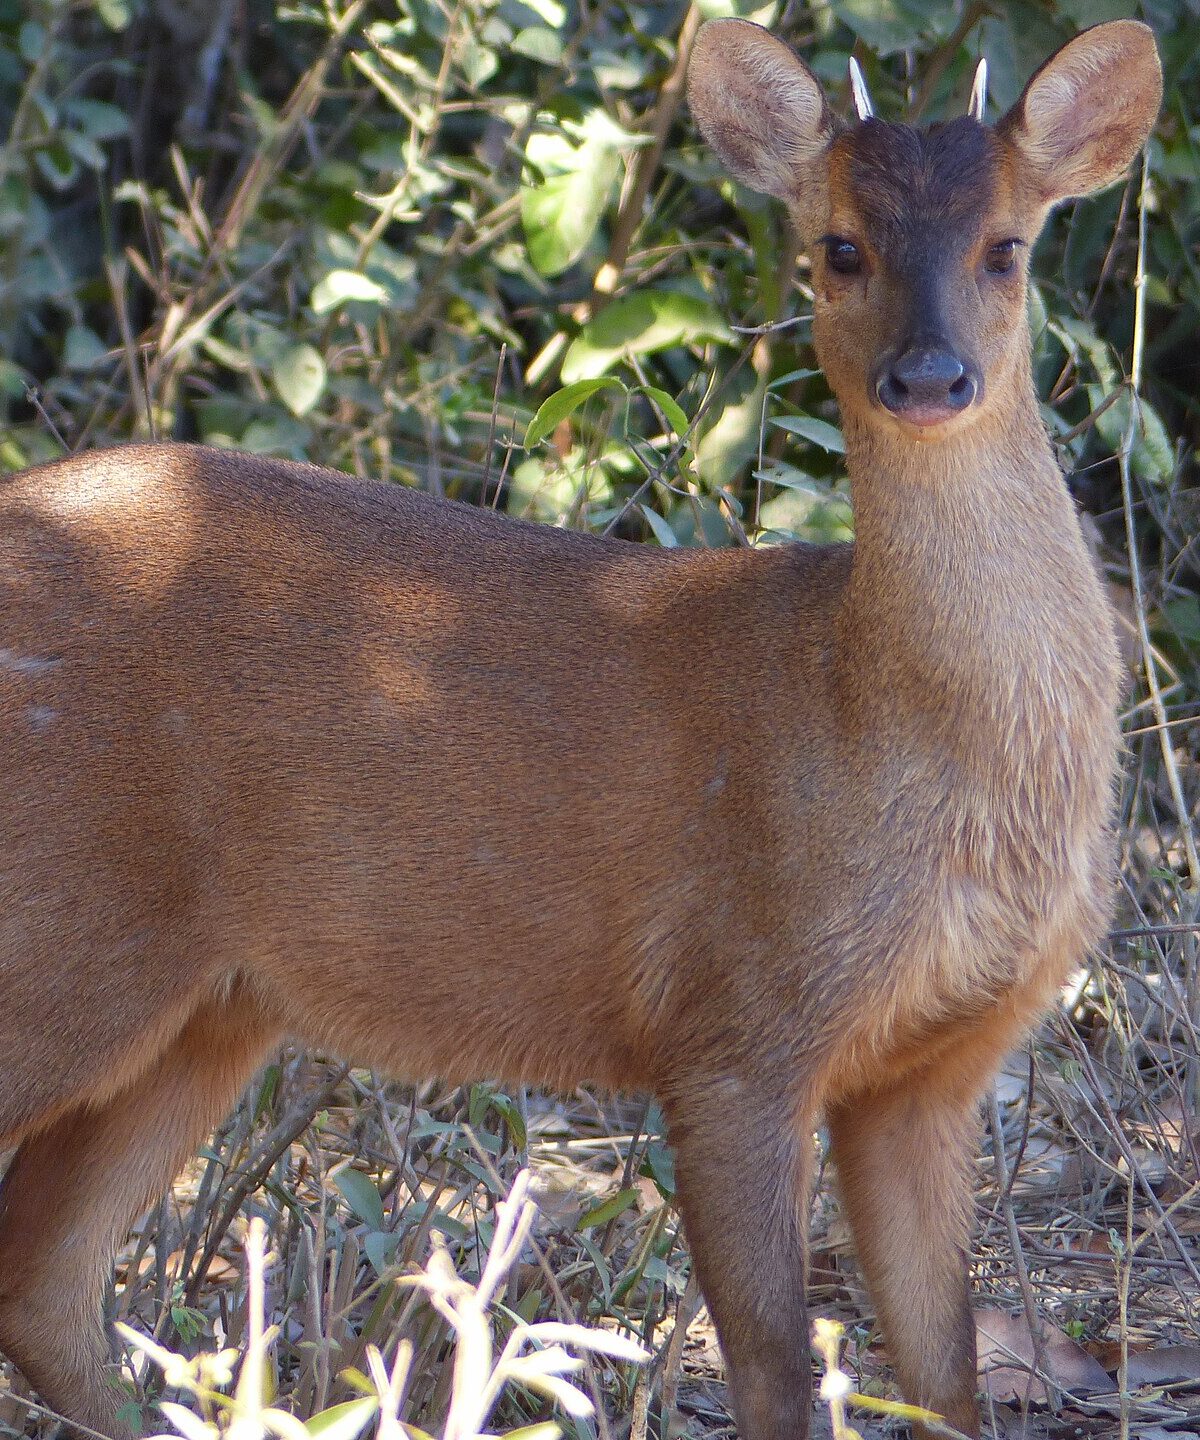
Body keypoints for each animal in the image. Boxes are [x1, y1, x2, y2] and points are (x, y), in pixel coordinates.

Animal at [0, 16, 1162, 1440]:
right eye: (839, 244)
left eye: (1006, 244)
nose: (929, 376)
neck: (873, 714)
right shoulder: (736, 1015)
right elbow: (776, 1368)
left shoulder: (941, 1063)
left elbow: (944, 1377)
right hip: (66, 921)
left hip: (210, 1001)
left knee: (43, 1281)